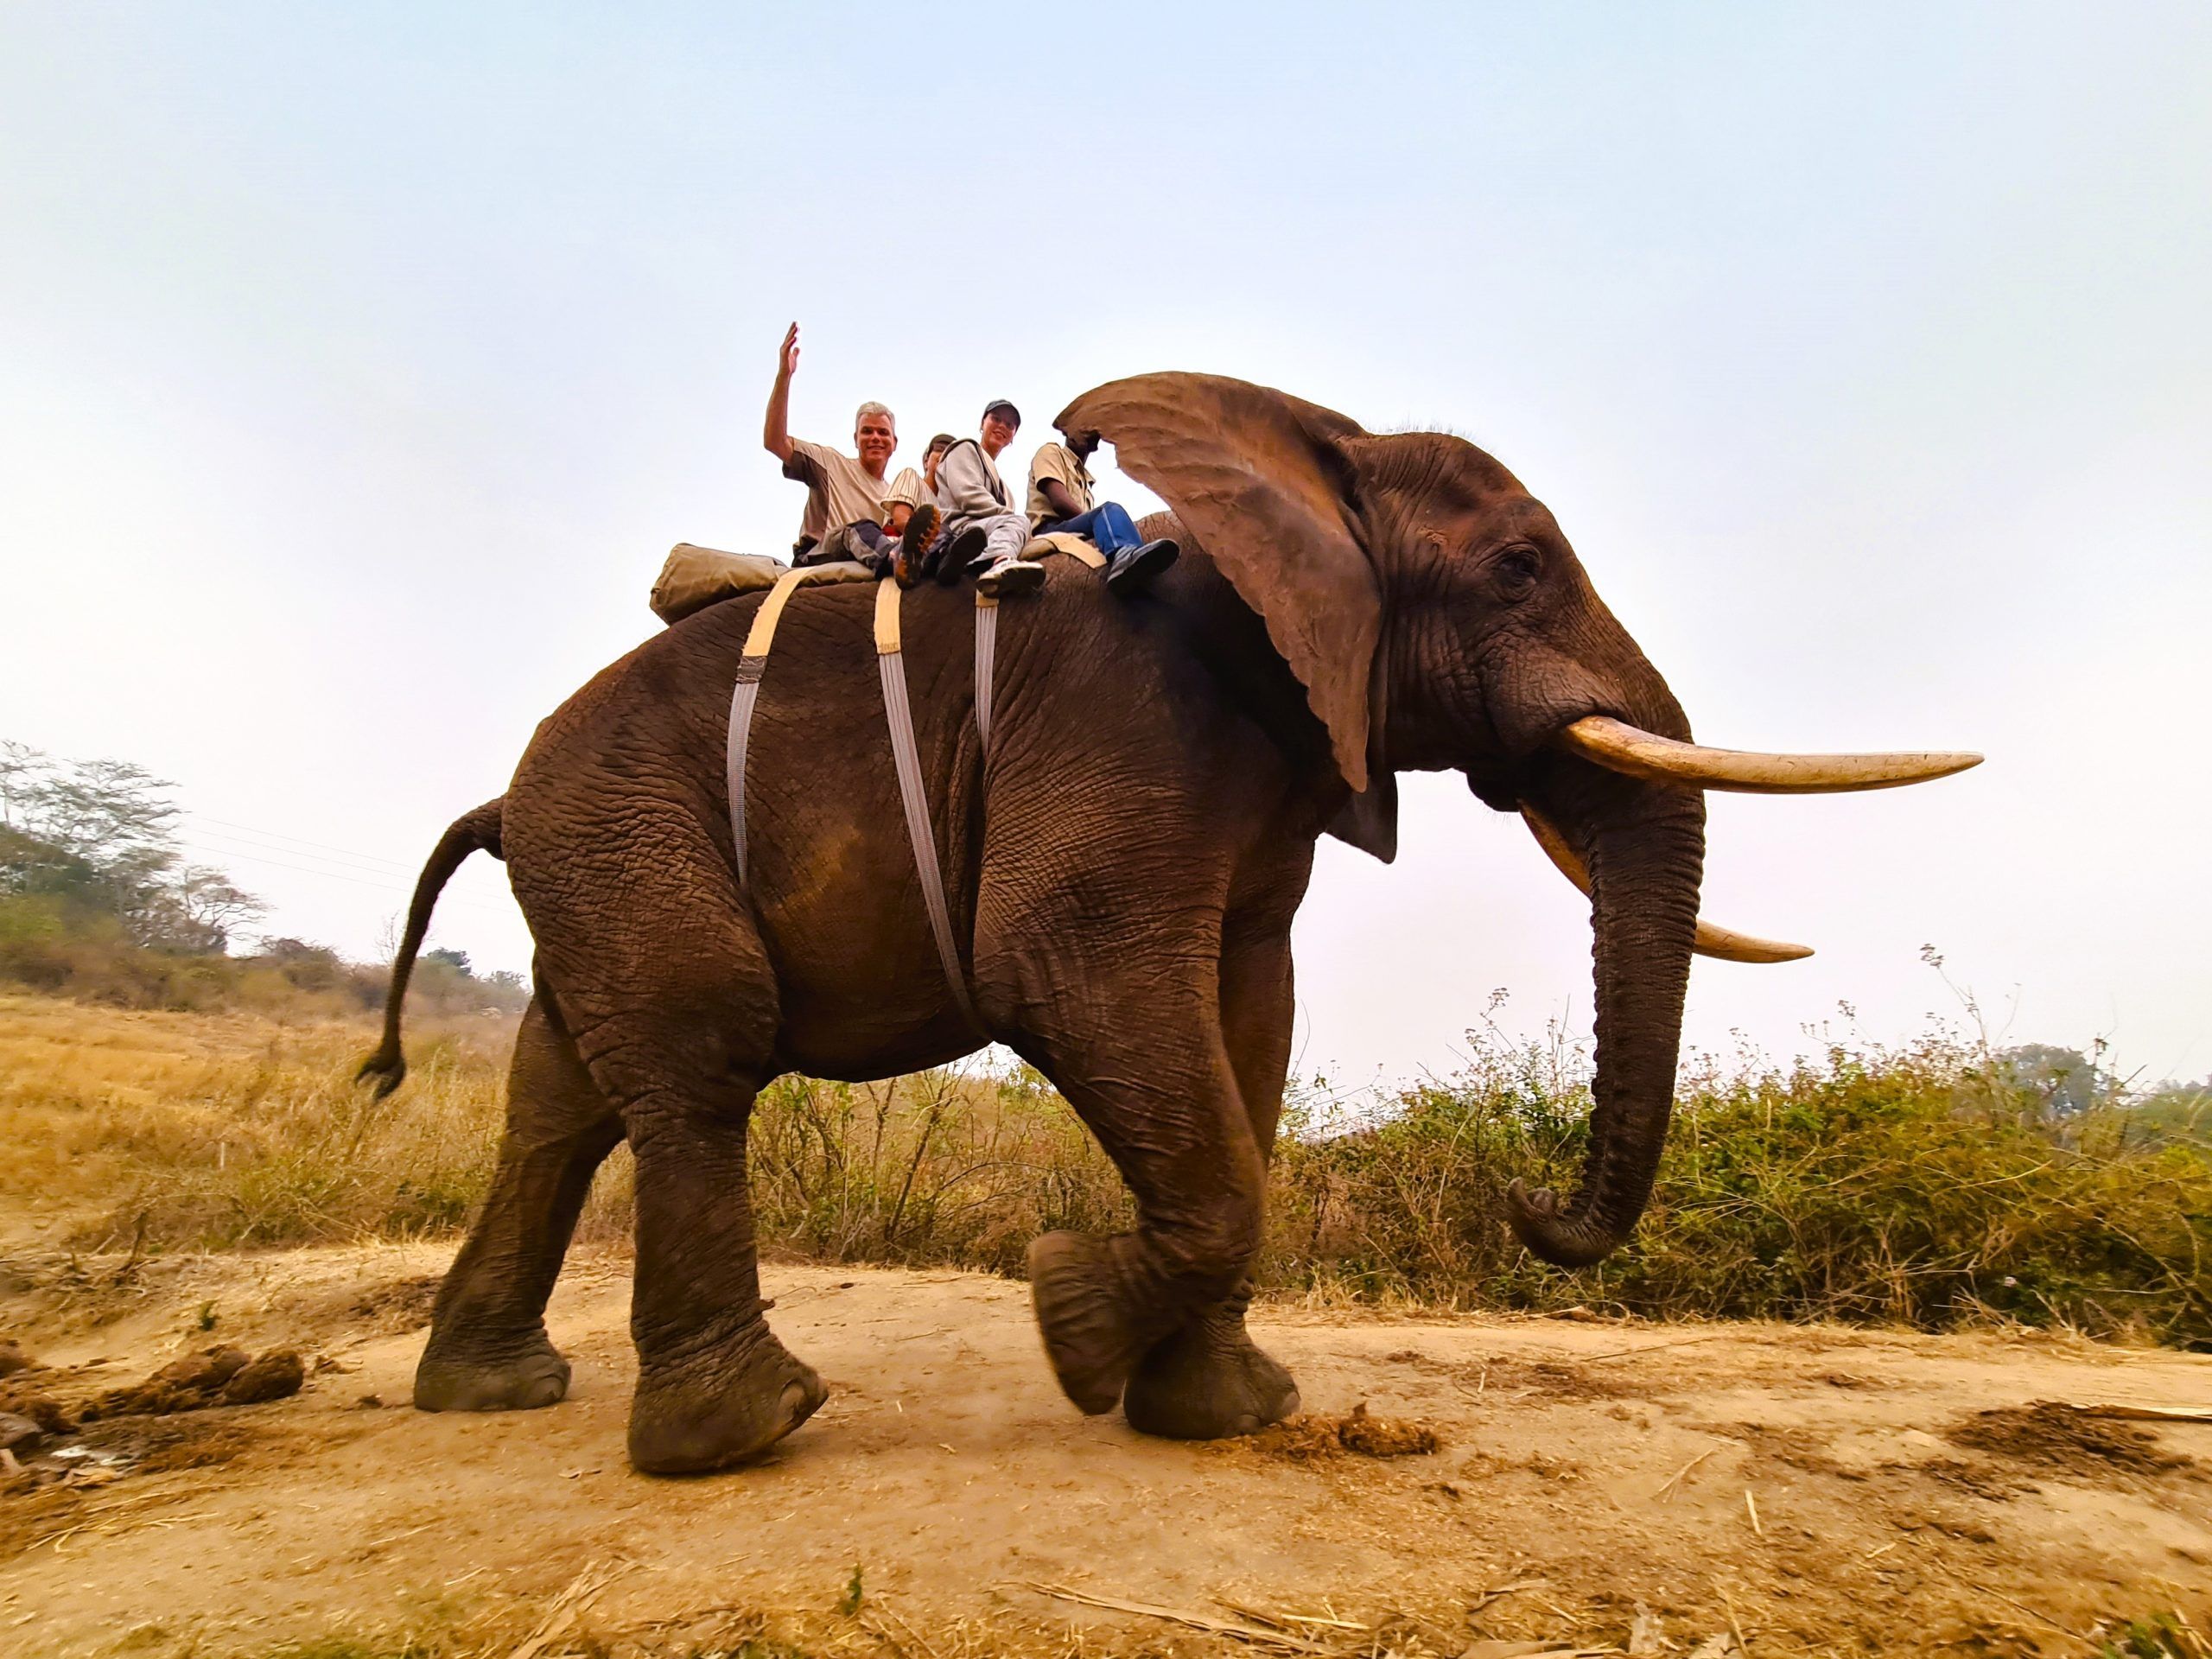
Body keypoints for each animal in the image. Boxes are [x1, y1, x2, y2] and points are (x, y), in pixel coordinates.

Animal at [359, 372, 1976, 1476]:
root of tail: (505, 797)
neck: (1291, 489)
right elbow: (1064, 967)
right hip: (626, 829)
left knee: (561, 1100)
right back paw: (749, 1431)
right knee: (697, 1054)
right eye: (1519, 568)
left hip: (596, 855)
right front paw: (1070, 1322)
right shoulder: (1123, 722)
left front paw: (1221, 1415)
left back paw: (497, 1395)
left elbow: (1249, 1013)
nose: (1525, 1203)